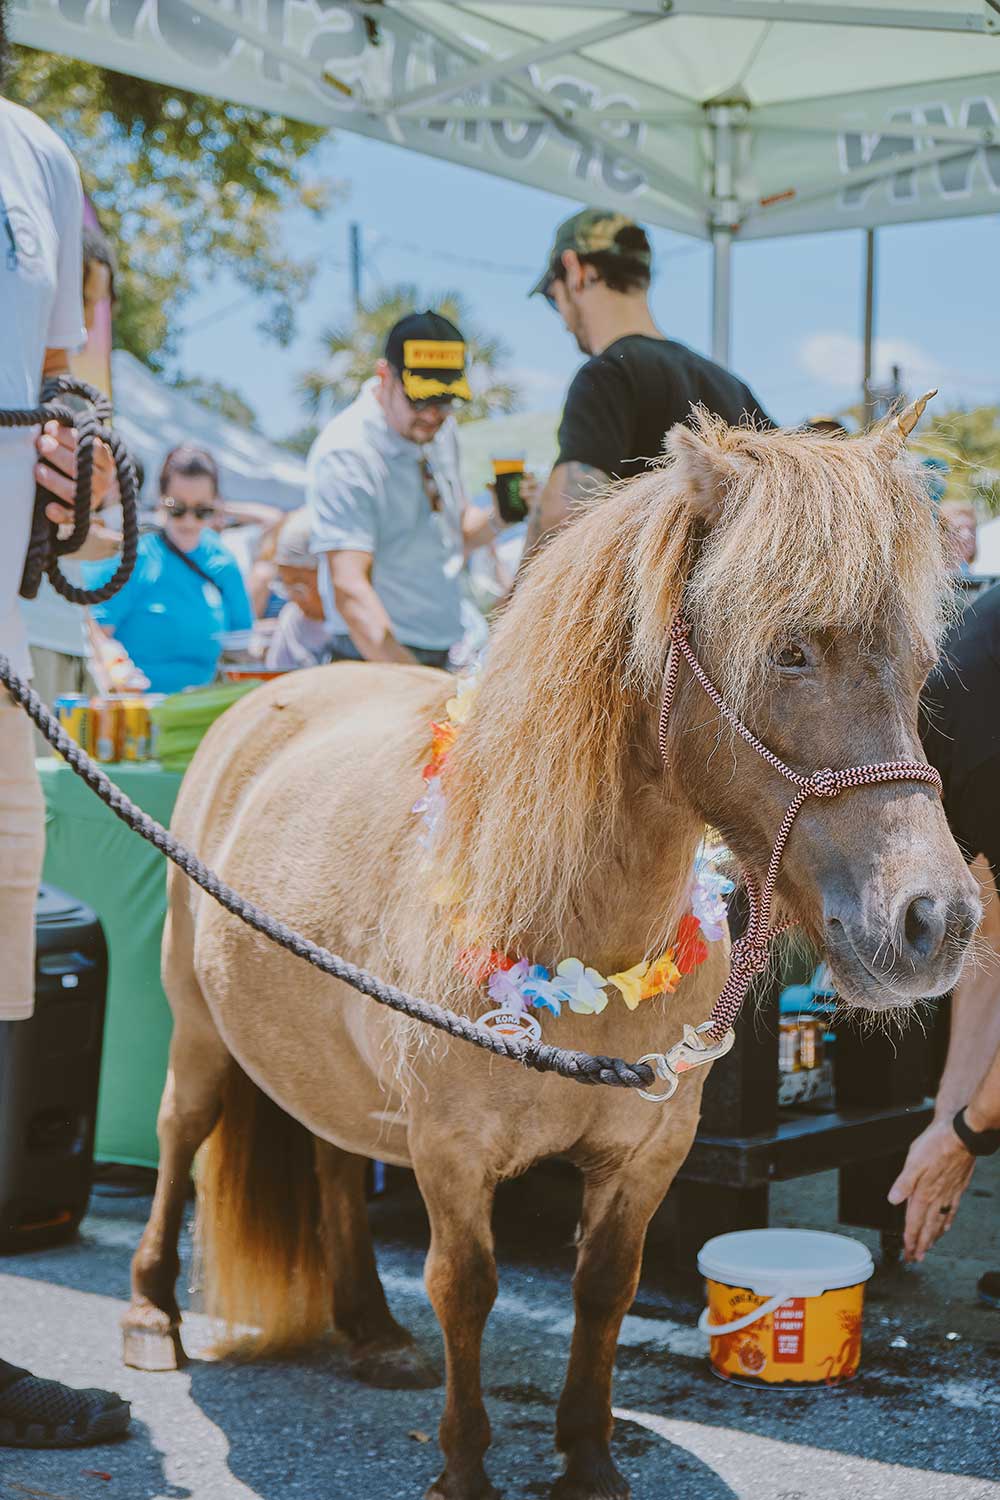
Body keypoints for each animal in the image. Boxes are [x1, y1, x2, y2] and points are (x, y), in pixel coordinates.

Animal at [123, 407, 979, 1500]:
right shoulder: (451, 1153)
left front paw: (587, 1457)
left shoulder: (646, 1154)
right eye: (790, 650)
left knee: (330, 1159)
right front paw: (463, 1466)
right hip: (195, 1025)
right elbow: (465, 1288)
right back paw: (152, 1313)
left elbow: (604, 1289)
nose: (936, 919)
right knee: (179, 1135)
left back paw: (369, 1329)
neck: (578, 940)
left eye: (919, 662)